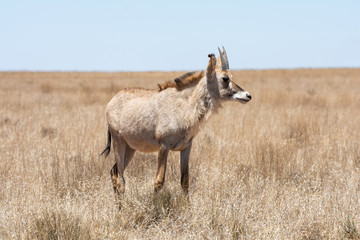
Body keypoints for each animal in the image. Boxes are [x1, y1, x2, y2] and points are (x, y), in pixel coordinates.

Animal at [100, 46, 250, 202]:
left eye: (231, 76)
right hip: (119, 142)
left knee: (114, 172)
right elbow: (159, 181)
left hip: (130, 148)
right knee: (120, 178)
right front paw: (154, 205)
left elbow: (185, 181)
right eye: (225, 78)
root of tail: (111, 102)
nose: (247, 95)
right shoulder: (163, 146)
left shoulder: (186, 147)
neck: (184, 105)